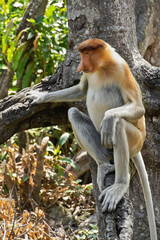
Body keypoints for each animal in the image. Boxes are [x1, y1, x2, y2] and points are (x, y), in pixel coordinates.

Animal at [26, 38, 158, 239]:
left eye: (87, 53)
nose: (80, 66)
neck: (102, 67)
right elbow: (81, 90)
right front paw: (39, 96)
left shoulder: (122, 68)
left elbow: (137, 107)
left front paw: (109, 117)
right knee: (73, 113)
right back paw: (104, 165)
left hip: (135, 140)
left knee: (119, 125)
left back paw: (119, 184)